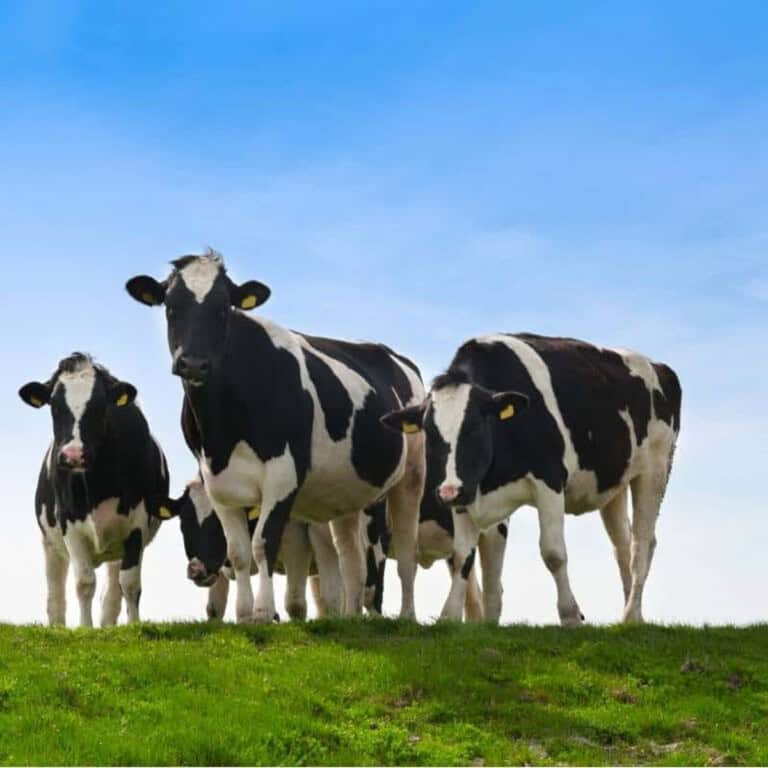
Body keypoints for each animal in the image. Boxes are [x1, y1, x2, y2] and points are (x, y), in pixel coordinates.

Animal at [19, 353, 169, 627]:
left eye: (100, 405)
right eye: (54, 406)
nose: (73, 455)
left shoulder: (137, 525)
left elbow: (130, 585)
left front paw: (134, 627)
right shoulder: (69, 523)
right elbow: (84, 582)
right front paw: (85, 628)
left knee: (113, 590)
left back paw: (108, 626)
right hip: (50, 543)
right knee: (55, 591)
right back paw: (57, 626)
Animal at [158, 477, 343, 620]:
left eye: (218, 522)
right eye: (183, 522)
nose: (196, 569)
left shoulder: (296, 538)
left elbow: (295, 605)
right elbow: (214, 608)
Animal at [382, 333, 681, 625]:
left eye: (474, 427)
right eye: (429, 432)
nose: (448, 493)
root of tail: (659, 366)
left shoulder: (549, 479)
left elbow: (553, 553)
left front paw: (570, 615)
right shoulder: (467, 492)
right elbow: (463, 556)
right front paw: (452, 617)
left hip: (655, 468)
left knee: (641, 544)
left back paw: (631, 615)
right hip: (613, 485)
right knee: (623, 545)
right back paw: (633, 617)